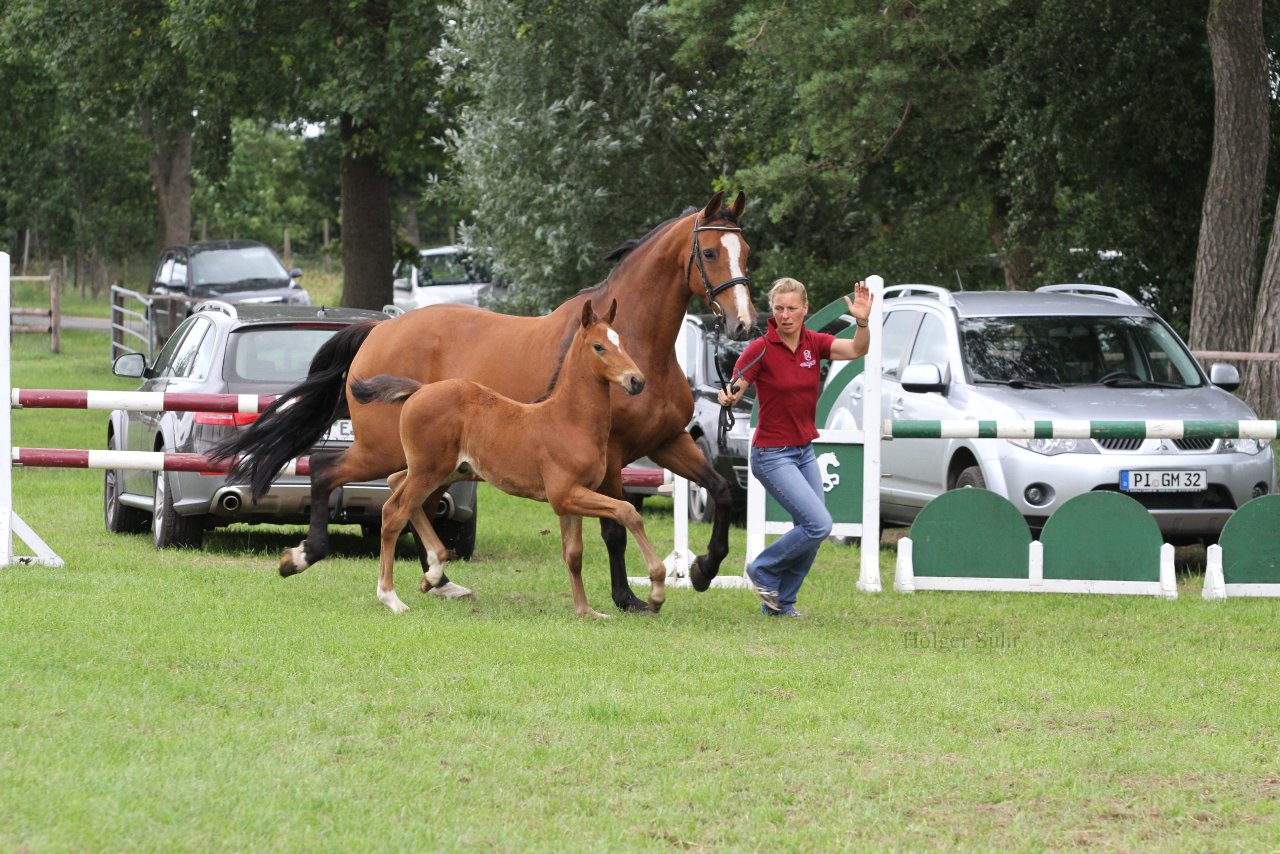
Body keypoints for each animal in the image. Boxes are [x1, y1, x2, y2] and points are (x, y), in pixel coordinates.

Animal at [353, 297, 670, 617]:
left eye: (623, 343)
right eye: (599, 346)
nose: (636, 380)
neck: (568, 421)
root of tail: (420, 390)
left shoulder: (570, 501)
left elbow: (574, 555)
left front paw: (585, 611)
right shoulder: (565, 494)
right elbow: (627, 512)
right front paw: (656, 591)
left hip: (446, 470)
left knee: (397, 484)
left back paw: (432, 573)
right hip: (428, 470)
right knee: (394, 512)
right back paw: (391, 597)